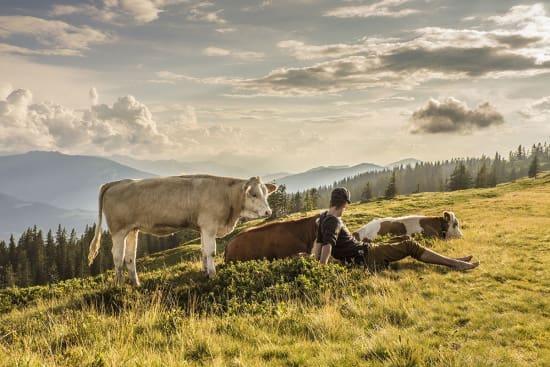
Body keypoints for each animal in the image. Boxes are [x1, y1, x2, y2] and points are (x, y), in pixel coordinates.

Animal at [88, 176, 278, 288]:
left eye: (266, 193)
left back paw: (136, 284)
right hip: (118, 230)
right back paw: (119, 285)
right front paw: (213, 275)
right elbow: (211, 252)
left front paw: (205, 273)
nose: (268, 212)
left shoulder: (203, 228)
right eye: (253, 194)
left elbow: (203, 251)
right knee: (117, 257)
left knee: (129, 257)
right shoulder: (209, 225)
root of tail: (116, 182)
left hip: (132, 229)